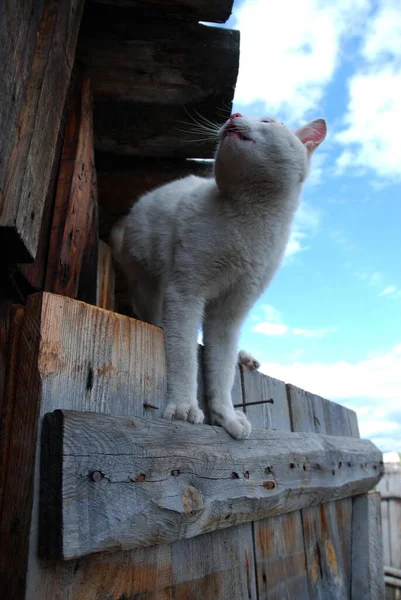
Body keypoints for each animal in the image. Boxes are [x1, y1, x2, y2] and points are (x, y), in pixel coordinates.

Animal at [109, 113, 324, 440]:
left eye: (268, 120)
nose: (235, 115)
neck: (250, 220)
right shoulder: (185, 292)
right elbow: (183, 353)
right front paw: (184, 407)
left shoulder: (231, 312)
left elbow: (221, 370)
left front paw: (226, 417)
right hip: (147, 285)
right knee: (159, 323)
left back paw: (245, 358)